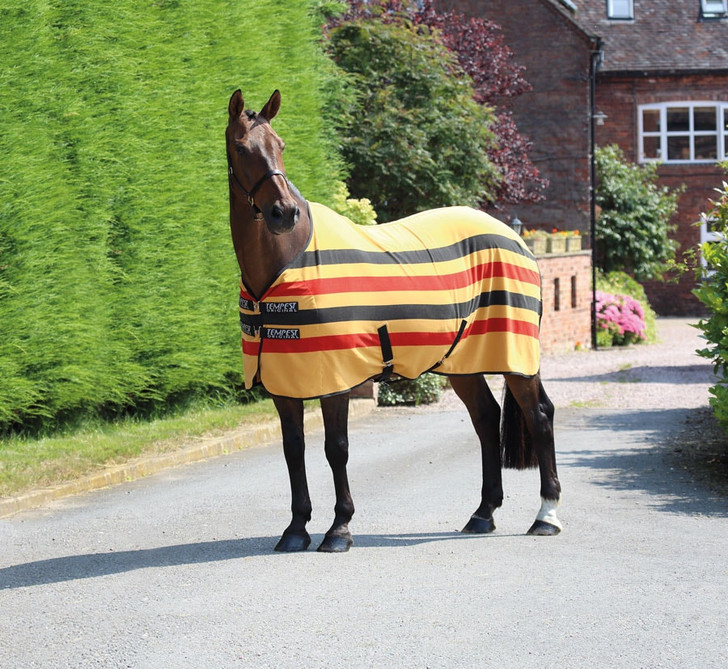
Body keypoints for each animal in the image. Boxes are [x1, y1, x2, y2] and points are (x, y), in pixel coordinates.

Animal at [228, 87, 564, 552]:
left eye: (280, 145)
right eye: (242, 148)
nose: (284, 212)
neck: (286, 264)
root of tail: (516, 238)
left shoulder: (337, 379)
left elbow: (336, 448)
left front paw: (339, 529)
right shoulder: (283, 380)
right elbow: (293, 448)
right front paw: (295, 530)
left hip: (515, 358)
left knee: (540, 417)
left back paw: (546, 516)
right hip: (461, 363)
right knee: (485, 419)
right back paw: (483, 514)